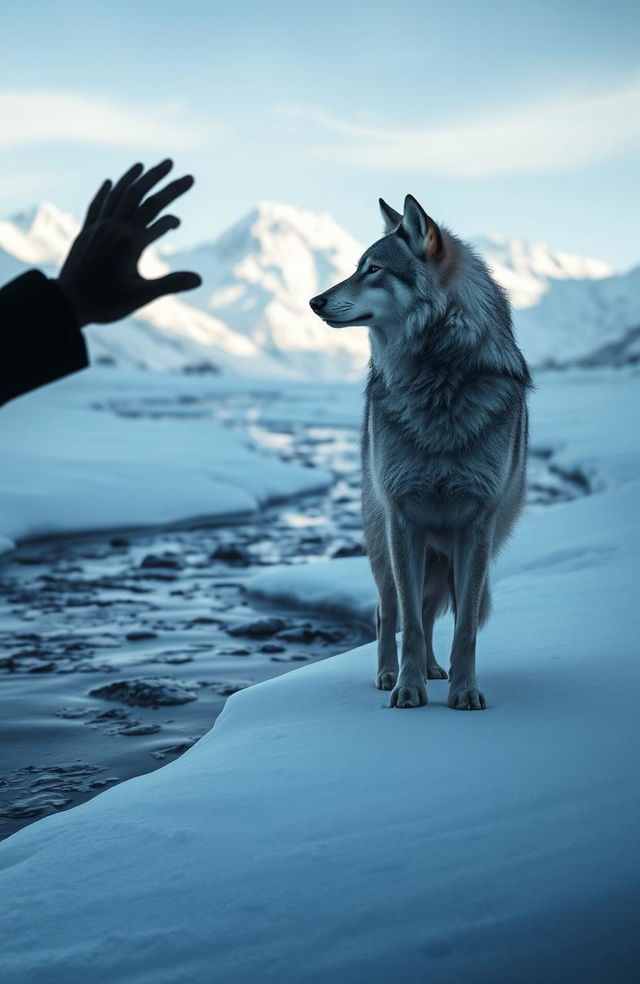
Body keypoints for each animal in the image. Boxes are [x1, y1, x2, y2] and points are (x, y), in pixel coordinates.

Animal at [310, 196, 528, 712]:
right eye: (357, 267)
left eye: (373, 270)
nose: (314, 301)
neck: (438, 382)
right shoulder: (403, 517)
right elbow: (407, 622)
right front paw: (407, 689)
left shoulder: (476, 525)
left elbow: (464, 628)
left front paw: (464, 691)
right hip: (387, 550)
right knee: (387, 613)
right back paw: (390, 675)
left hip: (444, 557)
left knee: (431, 613)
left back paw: (432, 670)